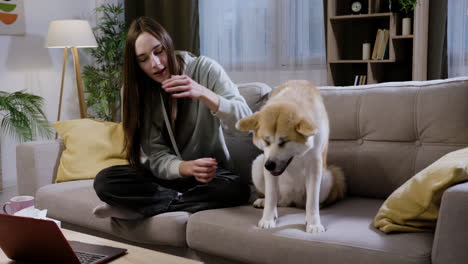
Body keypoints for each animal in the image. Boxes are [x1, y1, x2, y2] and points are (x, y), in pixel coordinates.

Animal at [236, 80, 346, 233]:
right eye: (266, 141)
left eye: (283, 141)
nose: (269, 165)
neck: (294, 94)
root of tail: (291, 200)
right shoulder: (266, 162)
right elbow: (271, 195)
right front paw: (267, 219)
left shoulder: (315, 163)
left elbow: (312, 200)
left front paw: (313, 223)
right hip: (258, 165)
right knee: (275, 199)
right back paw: (265, 203)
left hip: (328, 176)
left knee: (310, 201)